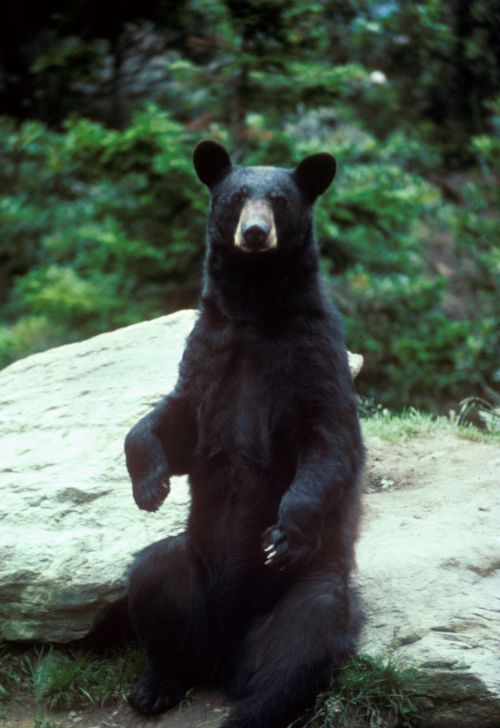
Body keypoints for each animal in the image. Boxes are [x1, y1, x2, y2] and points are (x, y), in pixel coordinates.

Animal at [124, 140, 365, 728]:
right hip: (191, 574)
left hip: (302, 590)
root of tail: (225, 658)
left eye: (279, 199)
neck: (256, 312)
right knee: (153, 577)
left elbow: (329, 441)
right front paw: (150, 485)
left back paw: (252, 708)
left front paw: (284, 532)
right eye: (235, 198)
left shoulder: (314, 354)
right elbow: (176, 418)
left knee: (304, 638)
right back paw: (156, 685)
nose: (254, 233)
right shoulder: (210, 348)